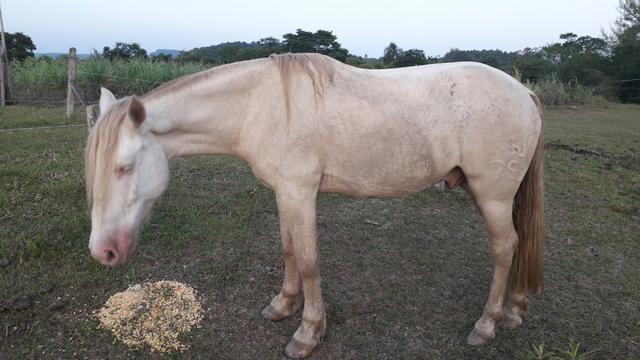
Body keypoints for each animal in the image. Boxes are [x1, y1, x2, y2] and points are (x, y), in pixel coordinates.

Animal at [85, 52, 544, 358]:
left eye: (125, 167)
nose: (103, 251)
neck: (261, 105)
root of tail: (524, 92)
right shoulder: (284, 193)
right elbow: (289, 250)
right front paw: (282, 305)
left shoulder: (300, 193)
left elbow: (307, 260)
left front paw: (307, 333)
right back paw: (515, 310)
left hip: (492, 195)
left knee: (505, 247)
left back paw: (487, 324)